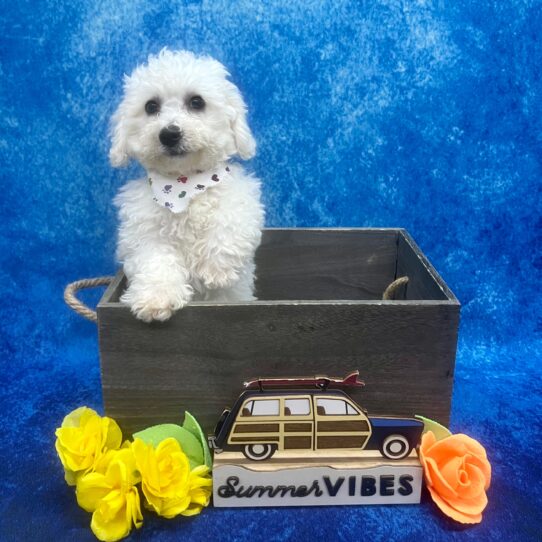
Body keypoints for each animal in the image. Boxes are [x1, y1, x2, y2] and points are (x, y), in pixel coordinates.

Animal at [109, 50, 266, 324]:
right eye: (151, 106)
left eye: (196, 102)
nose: (169, 134)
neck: (184, 184)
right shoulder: (142, 231)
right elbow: (155, 259)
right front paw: (155, 298)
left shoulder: (241, 199)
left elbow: (230, 219)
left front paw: (216, 270)